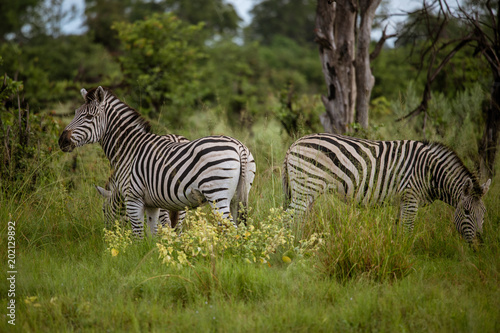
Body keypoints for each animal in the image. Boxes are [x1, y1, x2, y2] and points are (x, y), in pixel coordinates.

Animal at [58, 85, 256, 236]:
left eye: (89, 117)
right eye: (75, 113)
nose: (62, 141)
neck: (128, 149)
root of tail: (239, 146)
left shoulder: (133, 198)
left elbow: (138, 234)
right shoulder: (152, 204)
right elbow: (154, 235)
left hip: (216, 193)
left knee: (232, 229)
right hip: (238, 195)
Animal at [284, 131, 490, 243]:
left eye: (484, 213)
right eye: (466, 212)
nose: (479, 243)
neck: (430, 172)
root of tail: (294, 143)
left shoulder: (403, 200)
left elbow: (399, 228)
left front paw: (396, 250)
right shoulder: (411, 196)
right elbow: (408, 228)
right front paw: (407, 252)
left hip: (308, 191)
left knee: (299, 219)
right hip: (305, 187)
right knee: (290, 219)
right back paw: (292, 248)